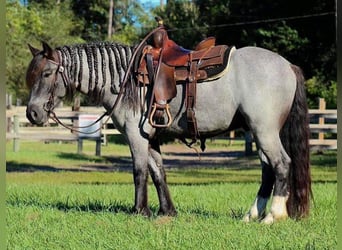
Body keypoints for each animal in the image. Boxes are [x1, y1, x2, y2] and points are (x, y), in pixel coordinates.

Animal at [25, 39, 312, 225]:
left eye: (47, 73)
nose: (32, 114)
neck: (125, 78)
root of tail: (288, 65)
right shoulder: (151, 139)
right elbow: (158, 172)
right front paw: (167, 211)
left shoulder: (135, 136)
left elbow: (139, 171)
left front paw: (140, 211)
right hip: (260, 132)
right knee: (268, 170)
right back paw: (252, 215)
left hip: (265, 131)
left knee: (282, 164)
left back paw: (273, 216)